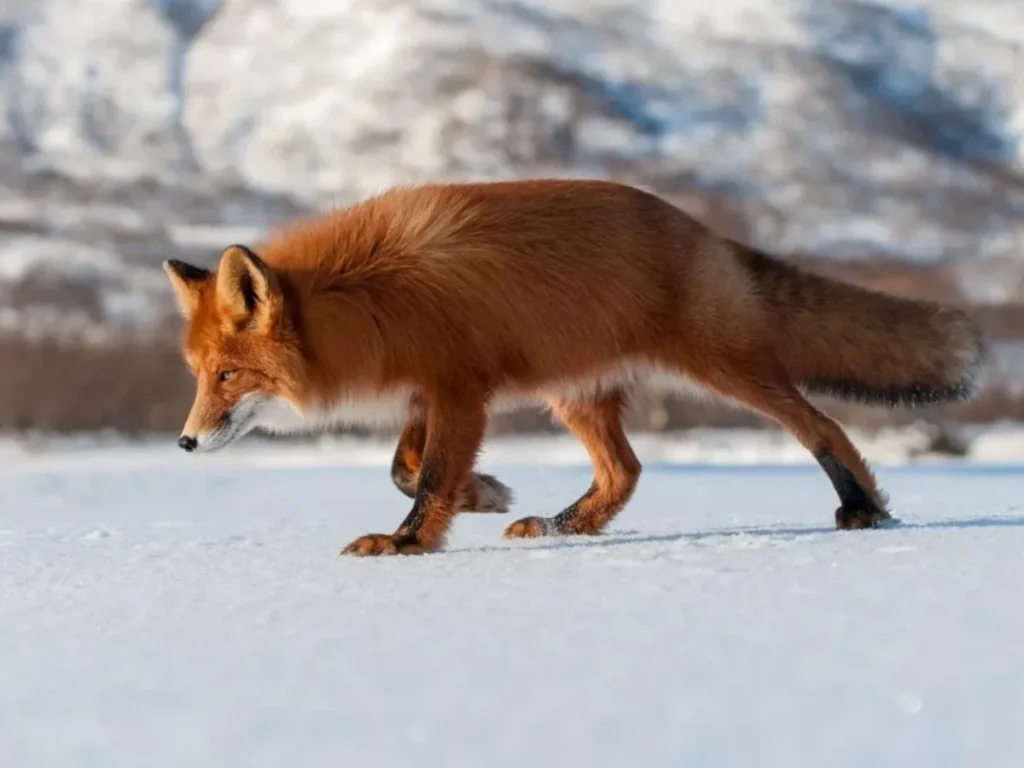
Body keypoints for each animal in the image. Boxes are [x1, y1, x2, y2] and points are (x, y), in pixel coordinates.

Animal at [163, 178, 984, 556]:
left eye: (227, 375)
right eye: (198, 374)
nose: (184, 442)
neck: (370, 297)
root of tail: (702, 231)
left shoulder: (460, 388)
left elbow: (427, 479)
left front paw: (406, 543)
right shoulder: (436, 391)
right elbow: (407, 467)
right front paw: (485, 494)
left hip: (727, 371)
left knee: (822, 425)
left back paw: (866, 509)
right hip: (574, 394)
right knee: (626, 470)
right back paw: (565, 525)